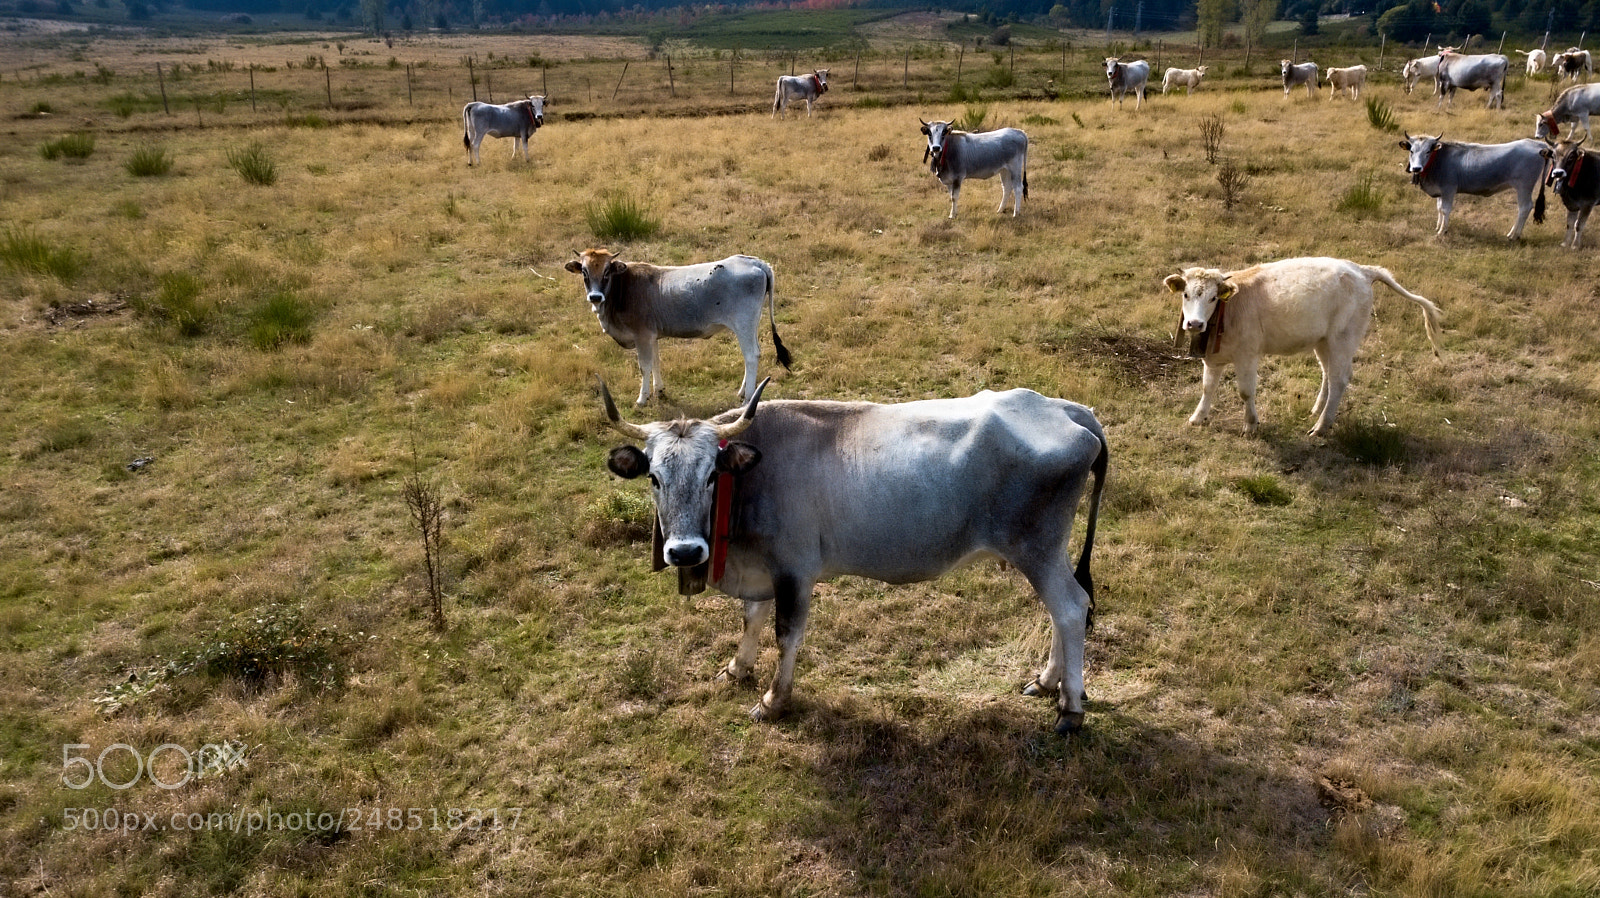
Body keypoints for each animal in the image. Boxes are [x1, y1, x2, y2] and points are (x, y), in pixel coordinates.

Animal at [564, 249, 792, 406]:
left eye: (607, 272)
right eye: (584, 272)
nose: (595, 297)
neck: (623, 289)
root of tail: (753, 261)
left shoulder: (641, 336)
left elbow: (644, 366)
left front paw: (642, 399)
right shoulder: (651, 336)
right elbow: (655, 362)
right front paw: (659, 390)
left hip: (743, 324)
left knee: (751, 356)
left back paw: (747, 401)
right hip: (751, 324)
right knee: (753, 355)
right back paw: (743, 392)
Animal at [597, 378, 1109, 735]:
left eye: (710, 476)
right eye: (654, 478)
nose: (685, 551)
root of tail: (1065, 408)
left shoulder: (795, 568)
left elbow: (786, 633)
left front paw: (773, 700)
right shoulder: (762, 566)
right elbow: (751, 617)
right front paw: (736, 668)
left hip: (1036, 547)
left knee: (1070, 608)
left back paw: (1070, 707)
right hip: (1046, 551)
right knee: (1064, 609)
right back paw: (1047, 681)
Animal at [1164, 258, 1443, 437]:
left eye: (1213, 298)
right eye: (1186, 295)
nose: (1195, 323)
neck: (1229, 308)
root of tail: (1362, 270)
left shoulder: (1247, 356)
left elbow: (1245, 392)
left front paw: (1250, 425)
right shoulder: (1214, 358)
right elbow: (1207, 387)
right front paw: (1198, 418)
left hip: (1342, 340)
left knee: (1340, 379)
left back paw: (1321, 426)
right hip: (1324, 341)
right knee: (1328, 374)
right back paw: (1317, 410)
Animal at [1399, 133, 1548, 240]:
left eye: (1428, 151)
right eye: (1411, 151)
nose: (1416, 168)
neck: (1439, 159)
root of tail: (1538, 144)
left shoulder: (1449, 189)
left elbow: (1445, 210)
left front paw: (1442, 231)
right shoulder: (1441, 191)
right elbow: (1439, 208)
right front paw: (1438, 226)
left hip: (1524, 186)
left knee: (1524, 207)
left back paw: (1513, 235)